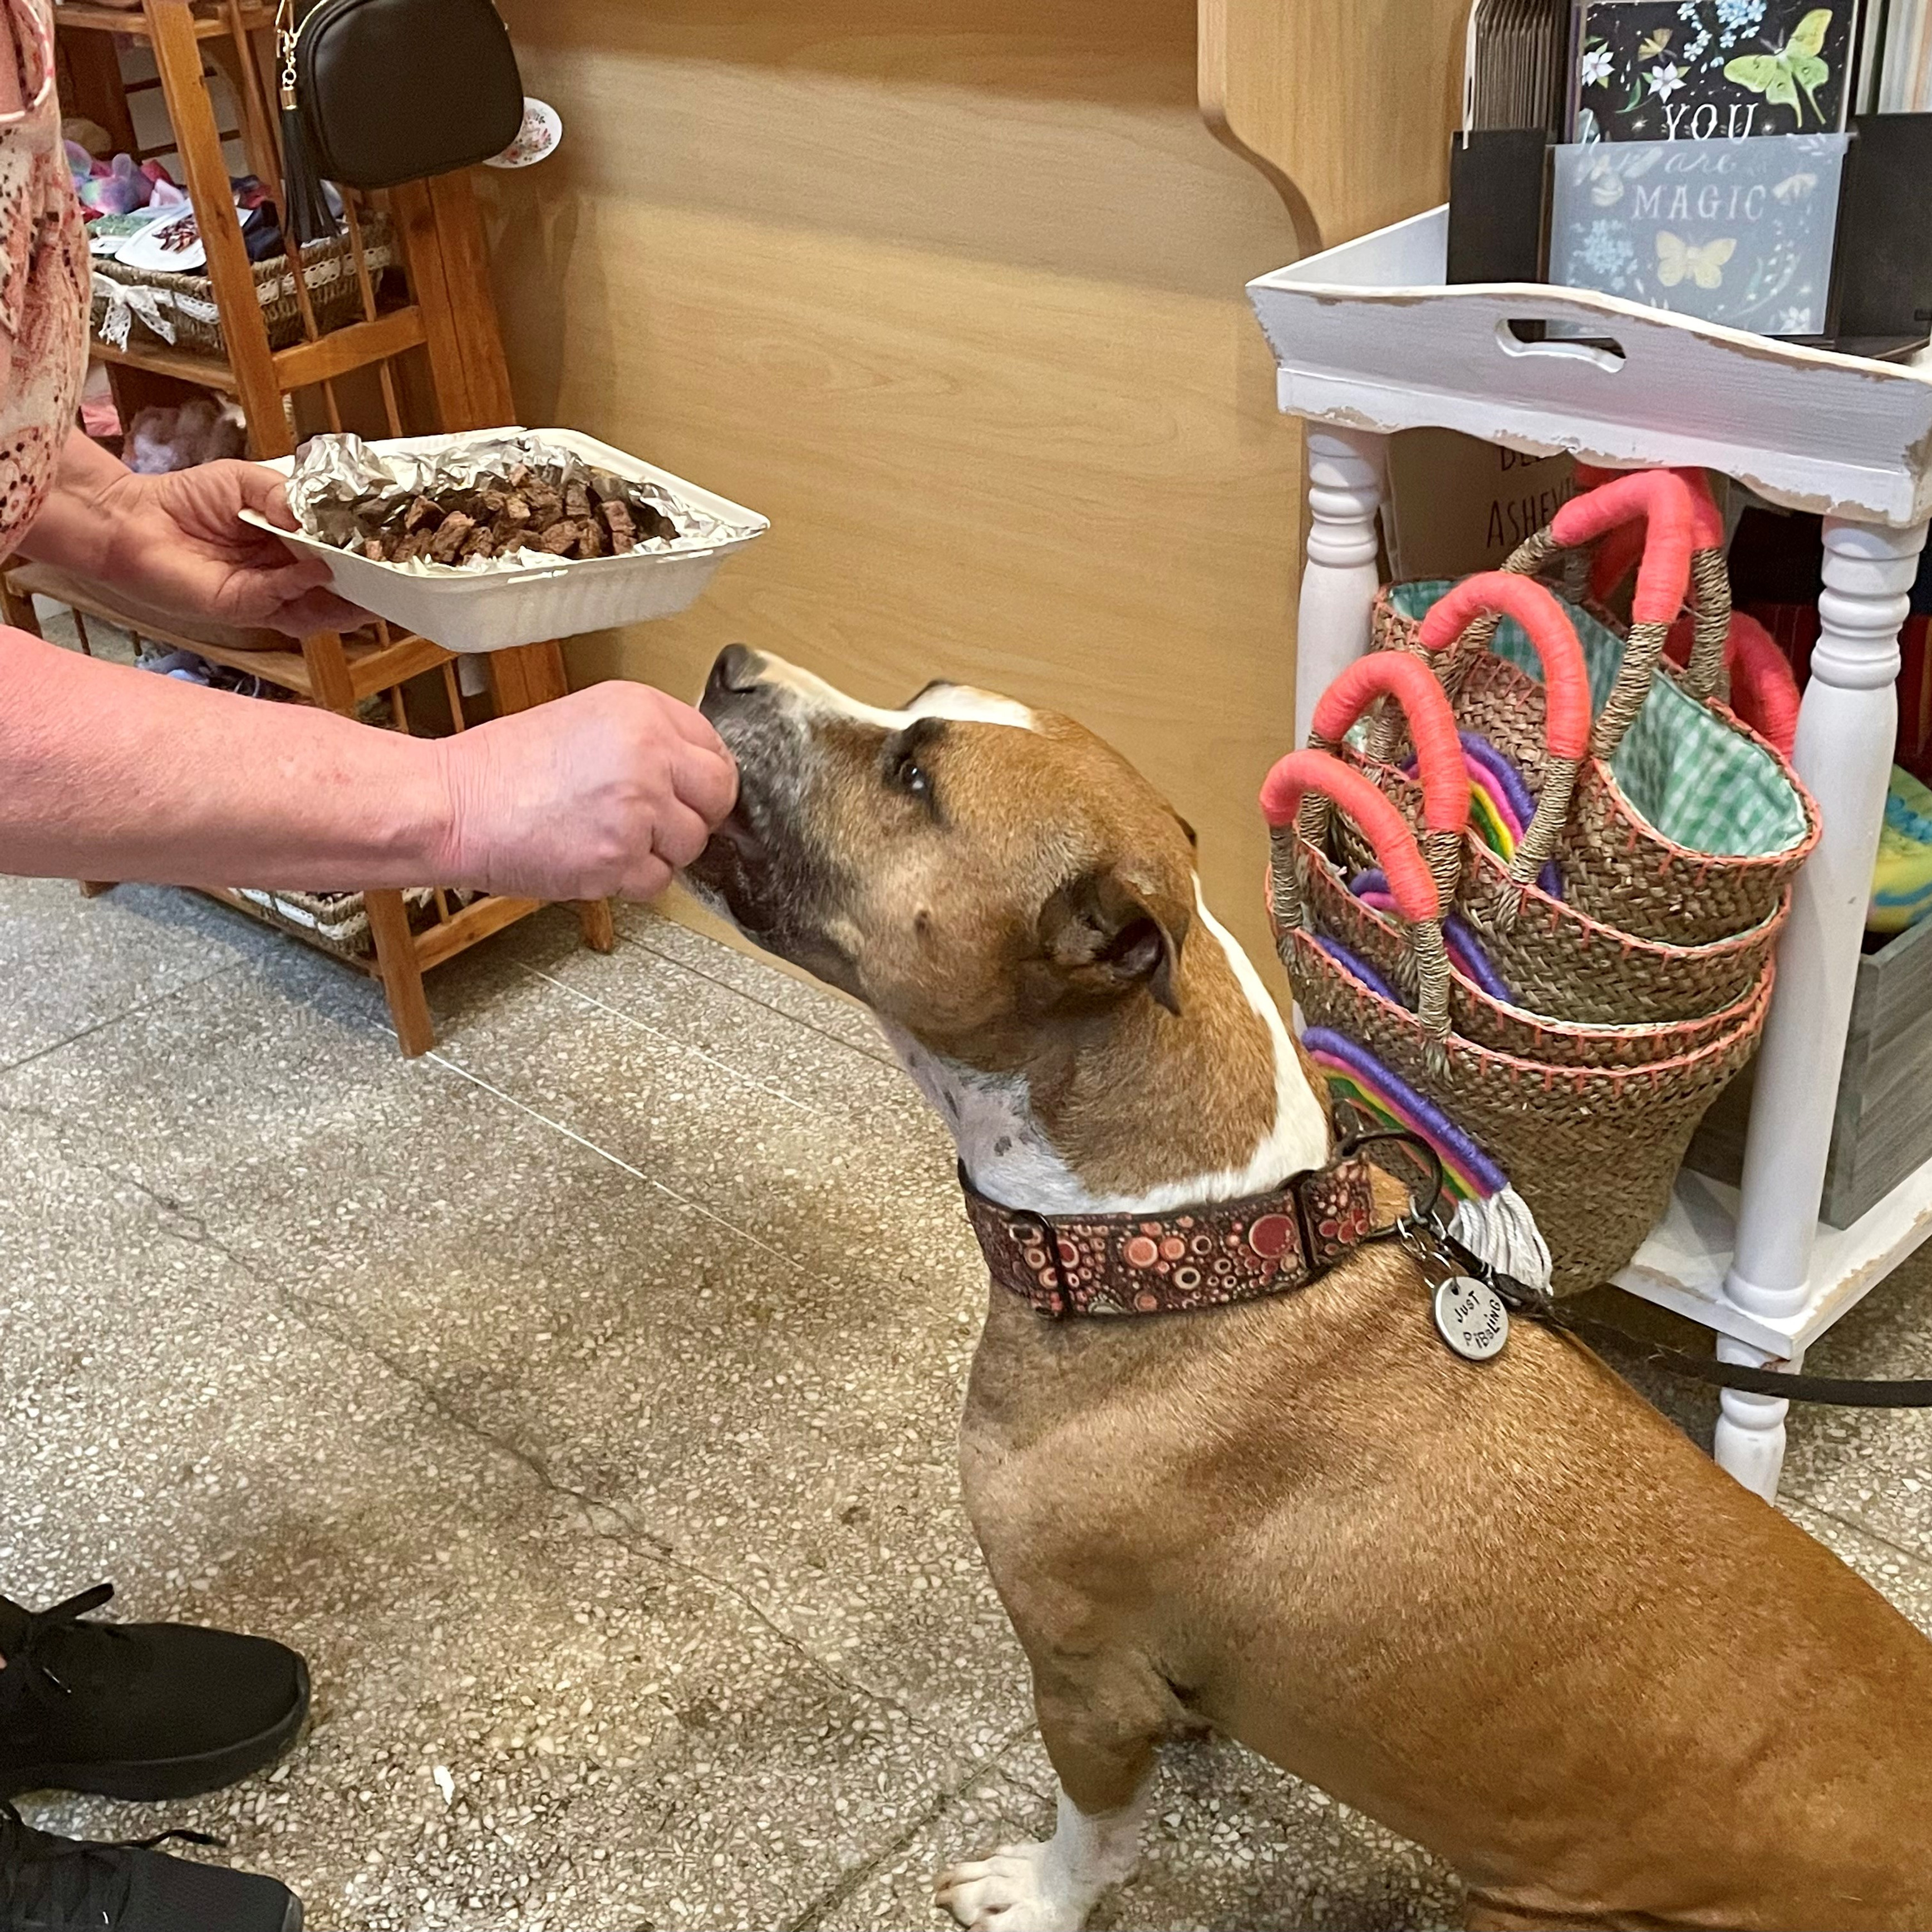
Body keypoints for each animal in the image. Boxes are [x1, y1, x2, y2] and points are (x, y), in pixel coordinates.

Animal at [684, 649, 1932, 1932]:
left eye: (914, 777)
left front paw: (1034, 1893)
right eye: (918, 704)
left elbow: (1091, 1833)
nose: (732, 663)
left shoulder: (1083, 1684)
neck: (1184, 1244)